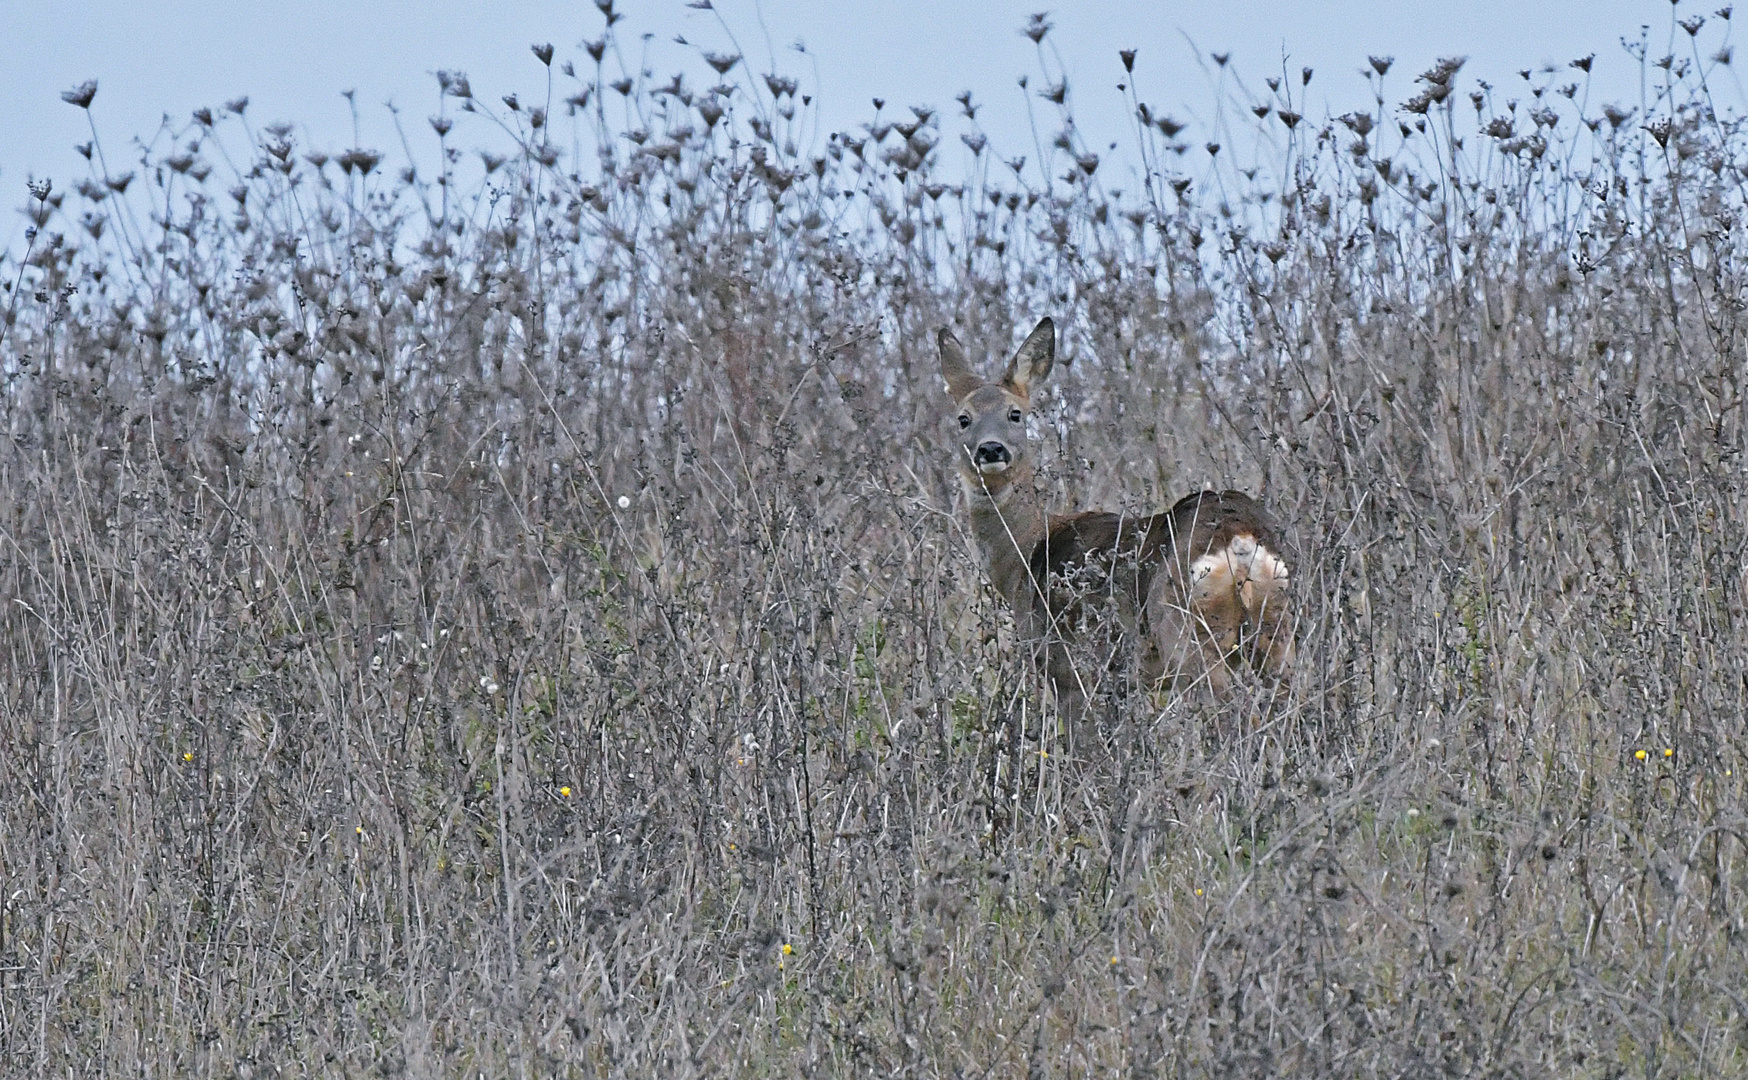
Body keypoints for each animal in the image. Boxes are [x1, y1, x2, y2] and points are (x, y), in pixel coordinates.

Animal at [936, 318, 1293, 723]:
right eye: (963, 419)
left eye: (1016, 414)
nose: (991, 449)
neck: (1026, 555)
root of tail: (1240, 540)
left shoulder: (1070, 670)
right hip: (1277, 631)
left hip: (1184, 632)